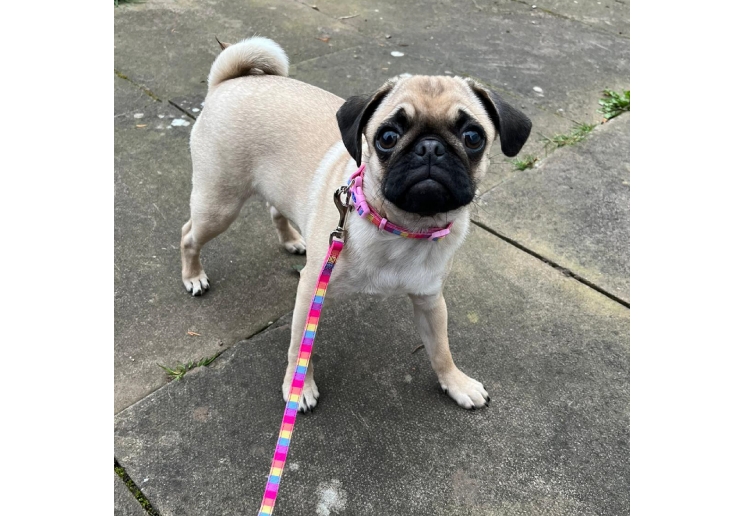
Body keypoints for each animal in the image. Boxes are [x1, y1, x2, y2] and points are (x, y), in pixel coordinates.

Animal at [179, 37, 528, 412]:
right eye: (387, 137)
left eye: (473, 137)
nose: (430, 148)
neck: (402, 227)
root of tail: (229, 82)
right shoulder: (310, 292)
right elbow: (298, 349)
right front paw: (298, 387)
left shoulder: (430, 299)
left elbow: (441, 349)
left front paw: (456, 382)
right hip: (219, 204)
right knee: (188, 235)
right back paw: (193, 277)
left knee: (275, 210)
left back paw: (291, 239)